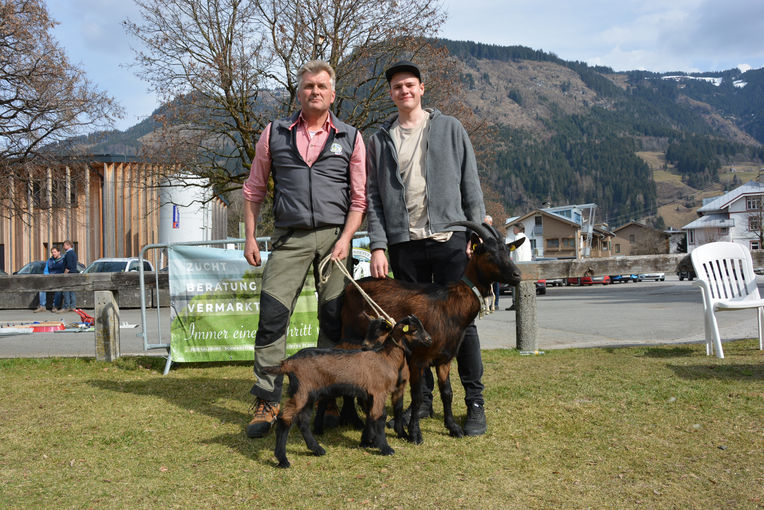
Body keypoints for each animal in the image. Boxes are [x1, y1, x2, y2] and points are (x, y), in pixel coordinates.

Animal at [342, 221, 524, 444]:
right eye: (488, 253)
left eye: (508, 251)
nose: (517, 275)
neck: (450, 305)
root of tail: (350, 286)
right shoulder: (418, 359)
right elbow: (417, 396)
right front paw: (414, 433)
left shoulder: (445, 359)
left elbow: (447, 393)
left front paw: (453, 427)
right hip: (348, 336)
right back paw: (352, 418)